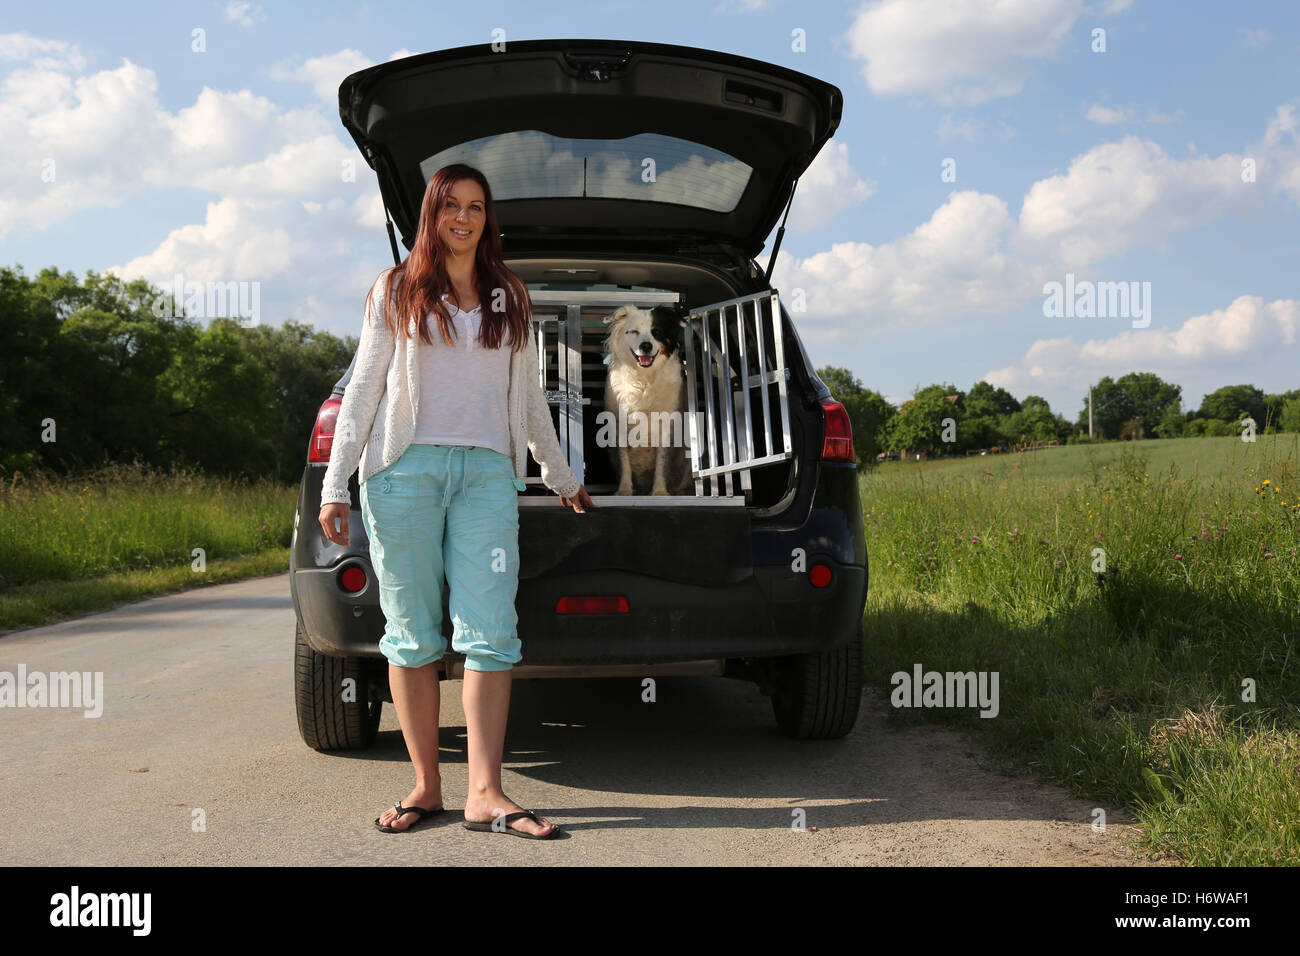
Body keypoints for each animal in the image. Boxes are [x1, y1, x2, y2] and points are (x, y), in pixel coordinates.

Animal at [600, 306, 696, 496]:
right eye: (633, 332)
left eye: (656, 332)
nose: (646, 346)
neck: (644, 377)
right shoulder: (619, 423)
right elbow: (624, 460)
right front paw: (624, 490)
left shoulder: (666, 424)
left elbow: (662, 461)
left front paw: (659, 491)